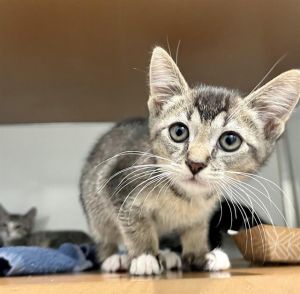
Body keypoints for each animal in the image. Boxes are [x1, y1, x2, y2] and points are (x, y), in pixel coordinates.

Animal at [79, 46, 300, 276]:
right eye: (179, 132)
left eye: (230, 140)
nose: (195, 163)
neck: (185, 198)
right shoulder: (117, 183)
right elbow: (135, 225)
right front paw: (144, 255)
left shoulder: (202, 213)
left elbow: (197, 231)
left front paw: (201, 255)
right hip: (94, 207)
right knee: (104, 238)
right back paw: (116, 259)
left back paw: (167, 255)